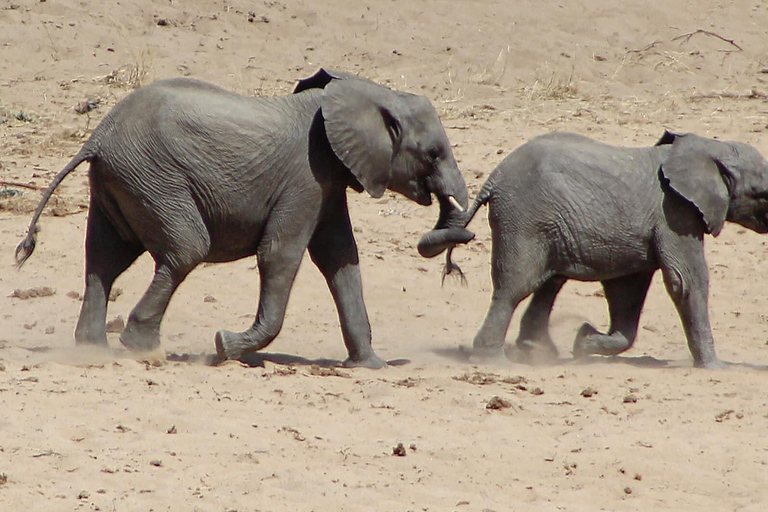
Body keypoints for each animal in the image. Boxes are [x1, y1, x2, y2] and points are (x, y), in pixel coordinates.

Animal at [15, 69, 474, 368]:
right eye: (433, 153)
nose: (458, 248)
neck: (367, 94)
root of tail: (95, 138)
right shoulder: (306, 176)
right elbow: (280, 255)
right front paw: (225, 347)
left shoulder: (327, 183)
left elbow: (341, 258)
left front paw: (368, 366)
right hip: (153, 177)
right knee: (185, 248)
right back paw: (144, 349)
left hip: (122, 181)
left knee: (104, 259)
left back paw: (93, 351)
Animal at [416, 132, 768, 368]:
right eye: (760, 193)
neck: (708, 148)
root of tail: (493, 177)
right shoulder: (676, 214)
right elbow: (685, 281)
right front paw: (715, 367)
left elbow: (627, 291)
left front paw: (583, 342)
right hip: (524, 219)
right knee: (514, 287)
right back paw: (495, 361)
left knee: (548, 282)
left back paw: (538, 352)